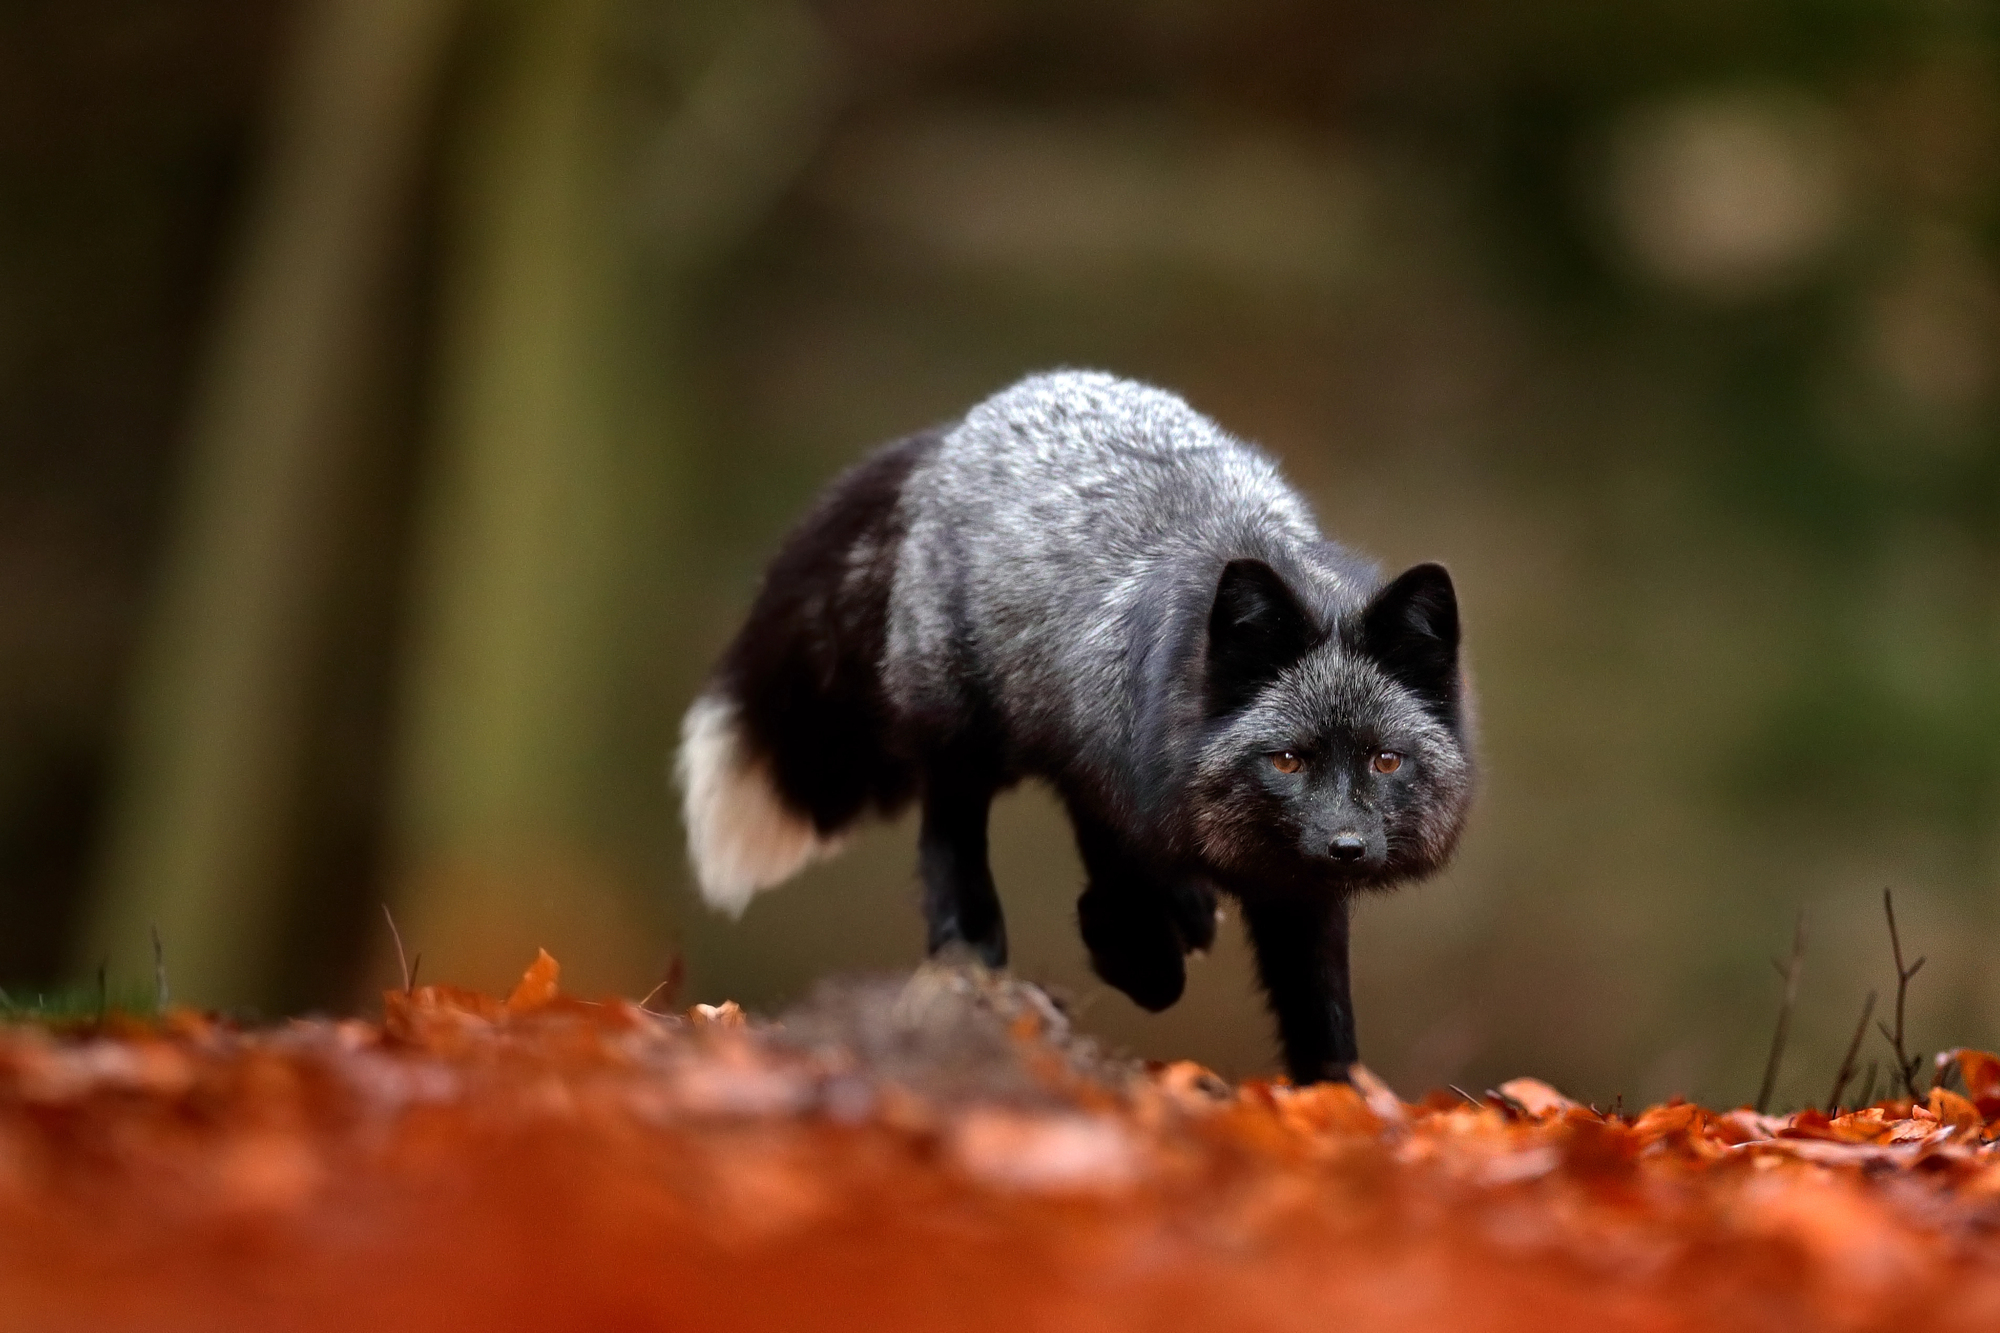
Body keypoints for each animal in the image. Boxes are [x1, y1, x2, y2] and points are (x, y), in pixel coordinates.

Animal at [677, 370, 1473, 1084]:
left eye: (1384, 760)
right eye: (1287, 761)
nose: (1347, 847)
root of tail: (960, 428)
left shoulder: (1296, 891)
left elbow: (1323, 1018)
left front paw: (1338, 1105)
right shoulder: (1114, 784)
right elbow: (1132, 924)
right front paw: (1125, 953)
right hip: (966, 740)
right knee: (950, 837)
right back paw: (973, 953)